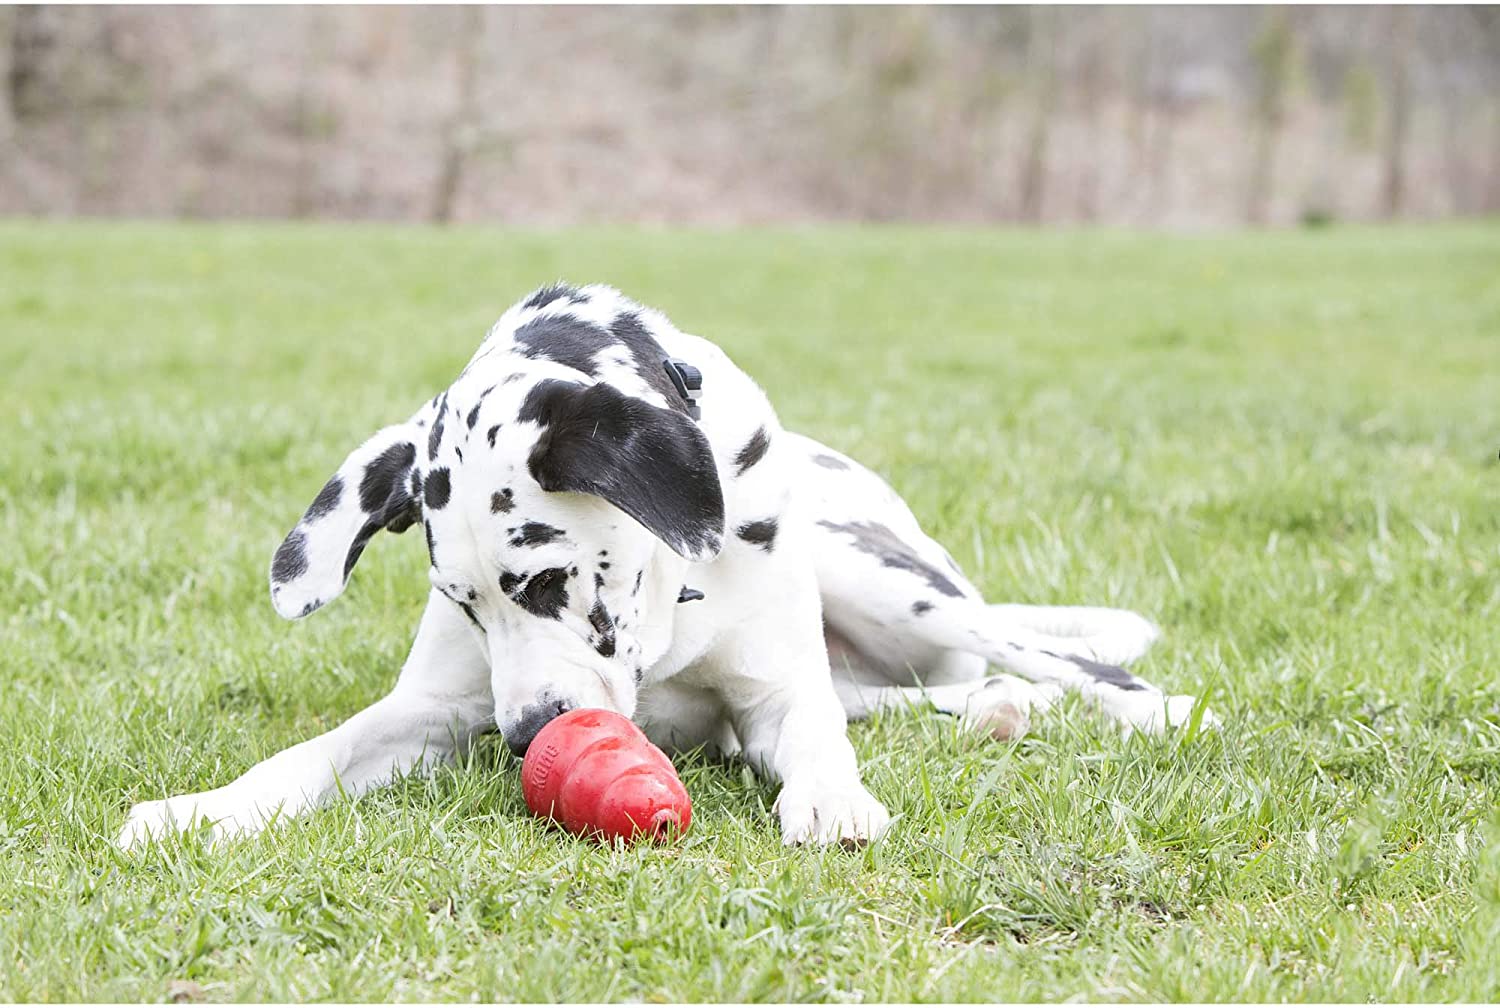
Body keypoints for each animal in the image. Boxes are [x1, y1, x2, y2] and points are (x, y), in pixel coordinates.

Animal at [120, 282, 1218, 852]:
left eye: (548, 579)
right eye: (466, 605)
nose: (528, 737)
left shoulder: (777, 692)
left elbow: (815, 734)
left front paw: (831, 799)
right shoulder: (432, 710)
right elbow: (312, 753)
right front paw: (202, 809)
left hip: (887, 579)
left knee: (1057, 660)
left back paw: (1155, 710)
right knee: (924, 695)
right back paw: (995, 710)